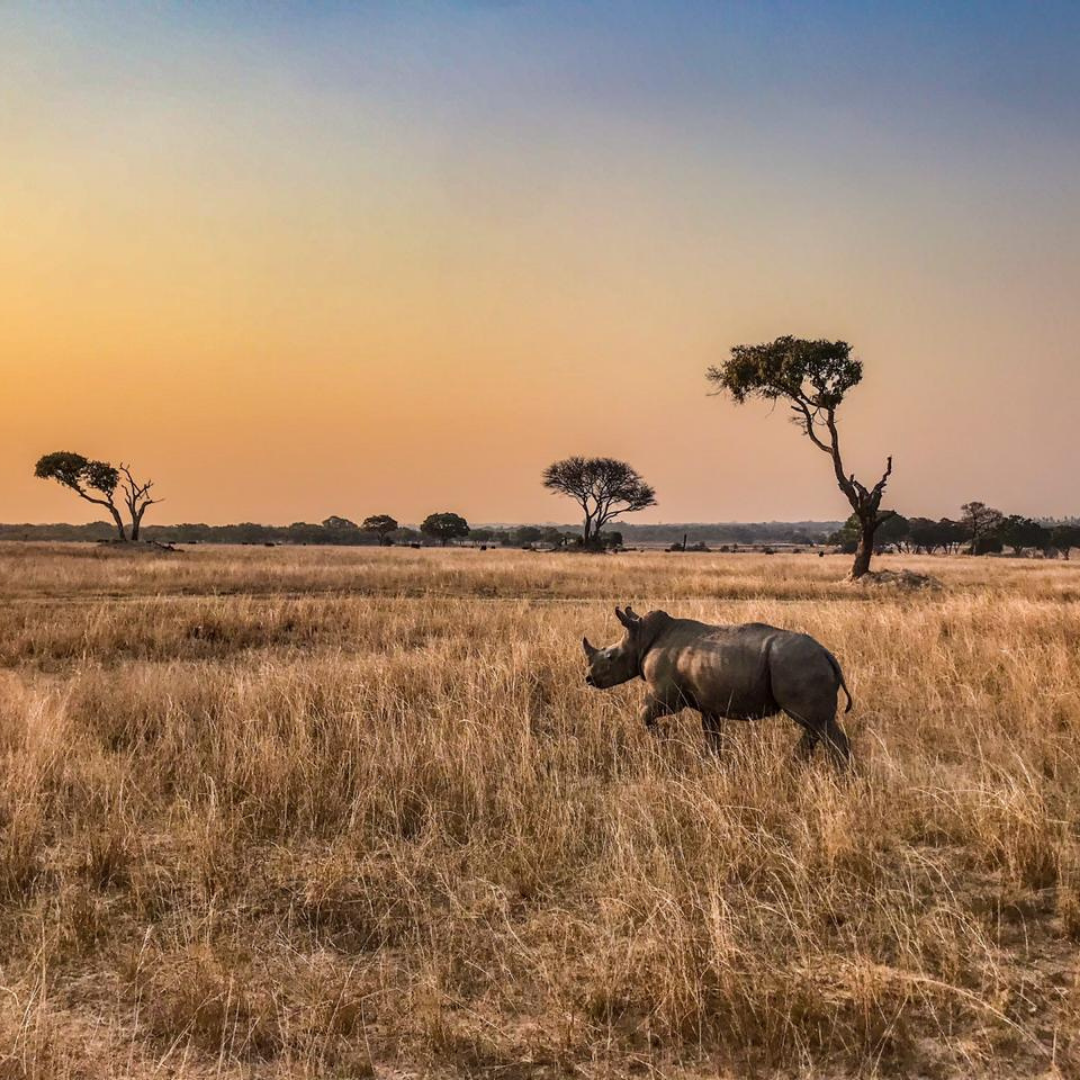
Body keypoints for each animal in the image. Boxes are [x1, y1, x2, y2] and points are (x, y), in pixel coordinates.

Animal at [583, 606, 852, 765]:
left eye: (610, 657)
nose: (588, 679)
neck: (641, 638)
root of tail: (827, 654)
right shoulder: (708, 702)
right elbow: (711, 735)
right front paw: (712, 763)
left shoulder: (667, 694)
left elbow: (644, 713)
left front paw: (664, 739)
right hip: (801, 664)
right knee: (816, 724)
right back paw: (794, 764)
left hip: (798, 664)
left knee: (817, 723)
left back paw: (840, 775)